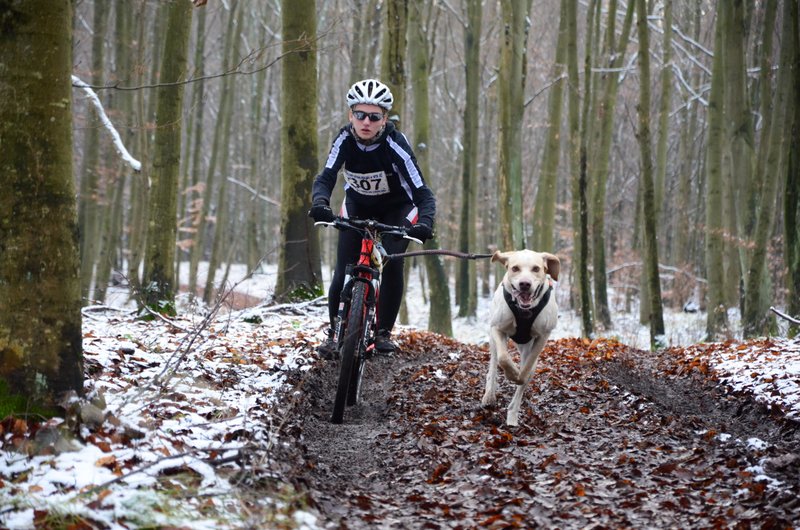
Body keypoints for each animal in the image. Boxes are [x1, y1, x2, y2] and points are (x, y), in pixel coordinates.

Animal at [481, 249, 560, 426]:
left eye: (536, 269)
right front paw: (511, 374)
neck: (525, 311)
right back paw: (489, 395)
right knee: (493, 366)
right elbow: (504, 358)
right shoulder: (497, 329)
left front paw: (518, 376)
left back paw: (512, 416)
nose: (525, 284)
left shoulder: (543, 335)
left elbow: (527, 368)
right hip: (493, 339)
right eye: (515, 268)